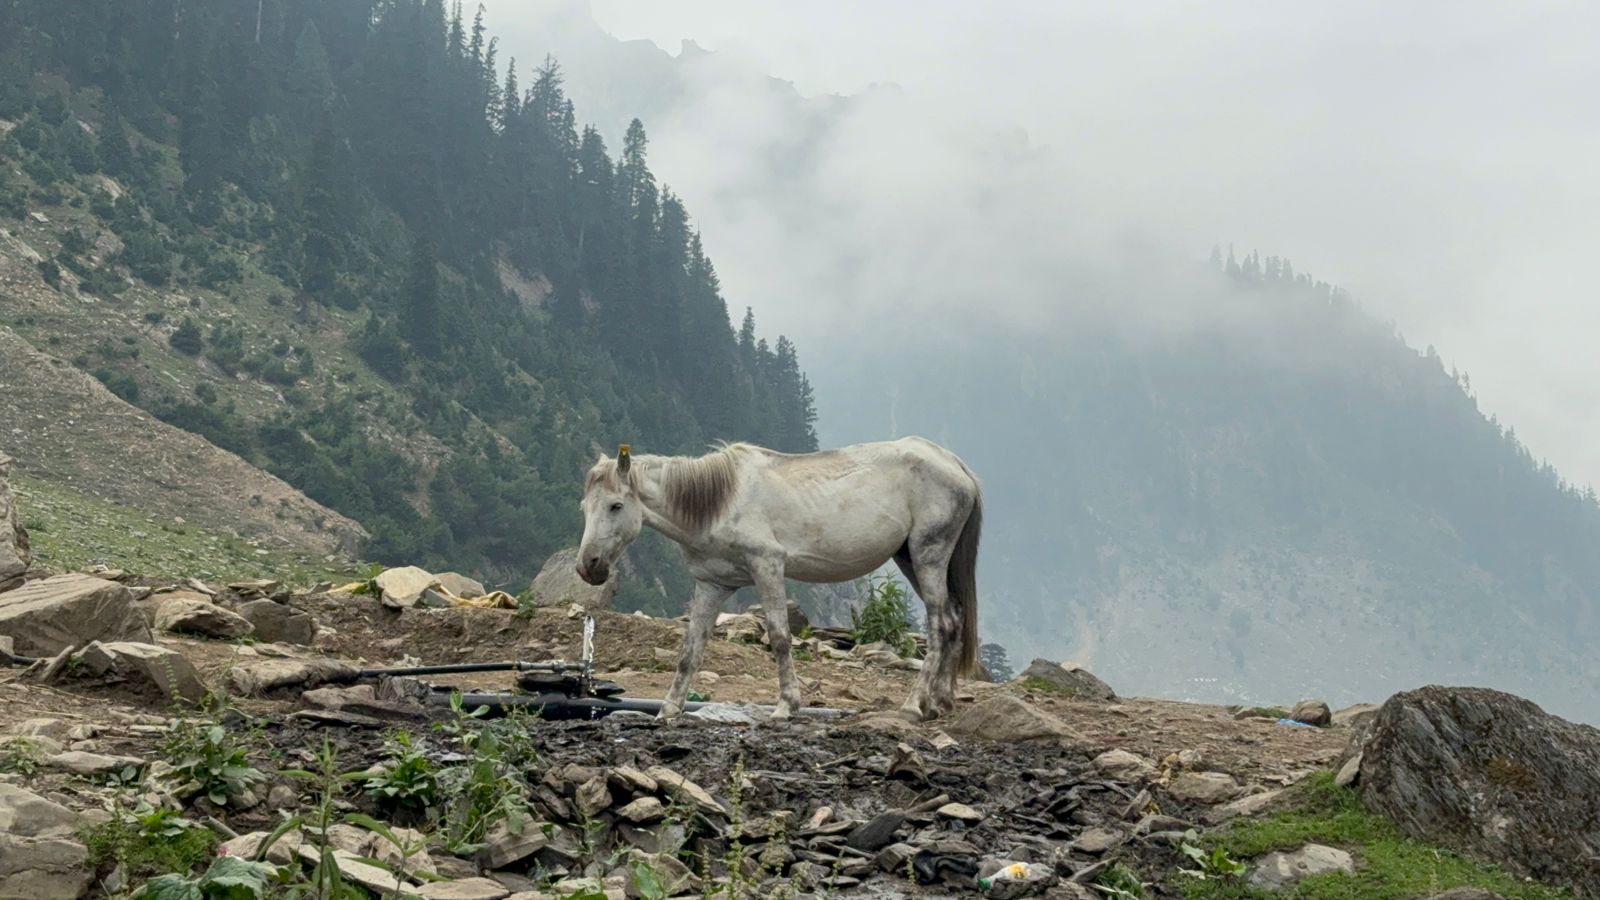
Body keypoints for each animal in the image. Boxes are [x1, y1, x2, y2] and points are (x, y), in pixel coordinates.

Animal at [569, 435, 979, 720]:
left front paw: (786, 706)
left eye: (615, 505)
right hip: (910, 558)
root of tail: (955, 464)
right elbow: (691, 649)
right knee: (954, 619)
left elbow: (780, 637)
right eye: (584, 507)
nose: (588, 566)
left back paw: (913, 705)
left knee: (941, 624)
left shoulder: (767, 566)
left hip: (928, 555)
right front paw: (670, 708)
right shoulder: (713, 584)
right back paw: (940, 702)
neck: (720, 501)